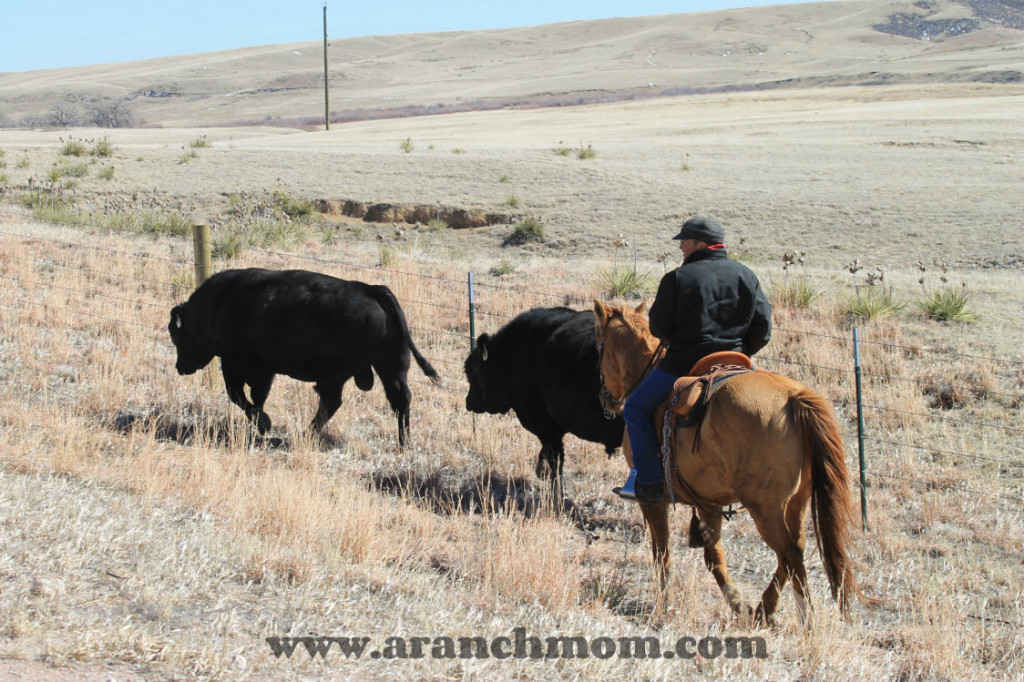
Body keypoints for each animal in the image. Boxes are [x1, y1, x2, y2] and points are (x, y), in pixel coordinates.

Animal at [168, 268, 439, 447]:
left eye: (177, 335)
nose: (180, 367)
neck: (219, 304)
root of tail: (373, 290)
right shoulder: (265, 370)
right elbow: (255, 397)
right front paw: (262, 422)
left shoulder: (237, 363)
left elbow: (240, 395)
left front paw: (263, 423)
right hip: (390, 367)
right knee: (399, 400)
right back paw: (404, 443)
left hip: (342, 374)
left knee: (333, 401)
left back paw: (304, 434)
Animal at [463, 307, 624, 494]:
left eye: (474, 372)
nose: (469, 402)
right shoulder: (554, 429)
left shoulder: (546, 428)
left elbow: (556, 463)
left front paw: (557, 492)